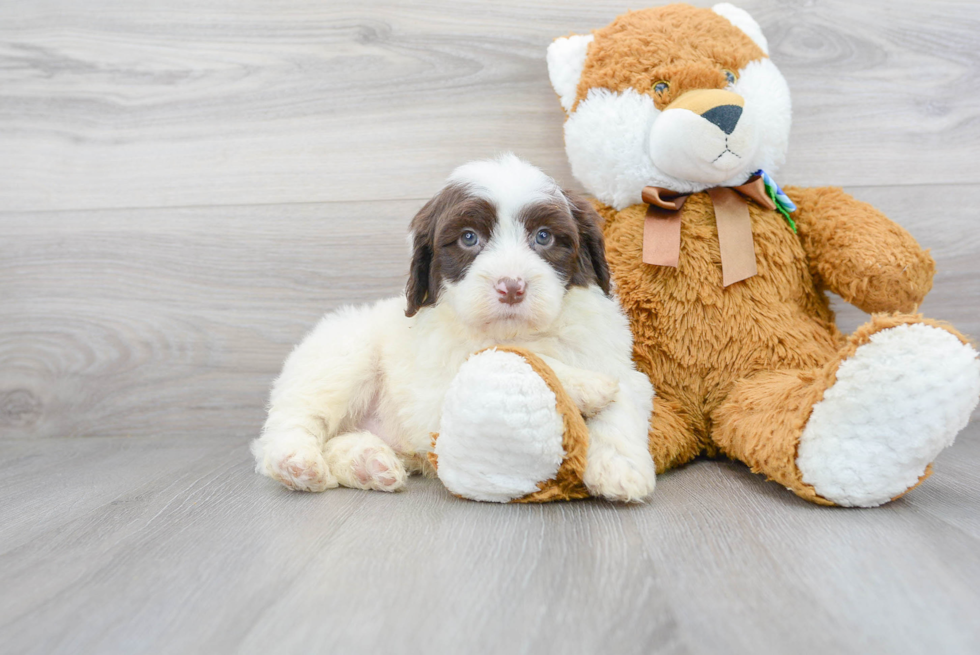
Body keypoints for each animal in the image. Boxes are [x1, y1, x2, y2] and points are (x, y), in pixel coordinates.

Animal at [249, 155, 656, 502]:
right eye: (468, 238)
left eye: (544, 236)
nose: (511, 287)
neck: (518, 331)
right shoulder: (438, 383)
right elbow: (507, 358)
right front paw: (586, 386)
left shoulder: (615, 360)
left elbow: (621, 401)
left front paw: (620, 469)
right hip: (340, 358)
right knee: (293, 422)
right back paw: (296, 462)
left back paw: (369, 463)